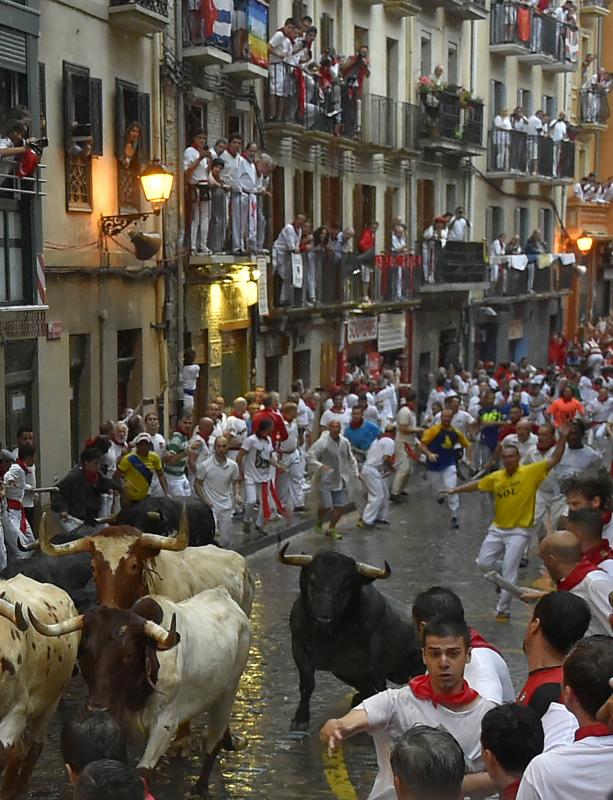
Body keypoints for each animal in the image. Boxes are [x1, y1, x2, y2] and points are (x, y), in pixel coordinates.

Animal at [278, 544, 426, 732]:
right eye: (312, 580)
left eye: (346, 585)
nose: (323, 618)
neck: (331, 634)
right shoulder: (299, 648)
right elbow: (307, 684)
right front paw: (300, 719)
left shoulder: (374, 657)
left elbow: (380, 686)